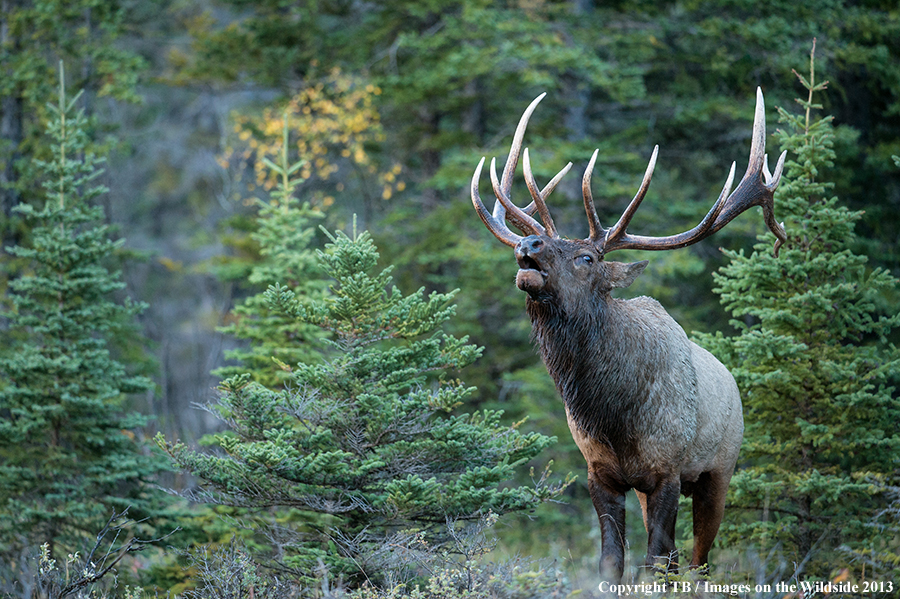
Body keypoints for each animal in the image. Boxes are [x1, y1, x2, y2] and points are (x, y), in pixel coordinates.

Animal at [474, 90, 784, 580]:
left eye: (586, 258)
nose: (528, 245)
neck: (613, 414)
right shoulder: (600, 473)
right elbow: (611, 562)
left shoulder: (668, 471)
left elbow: (653, 563)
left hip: (720, 470)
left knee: (697, 560)